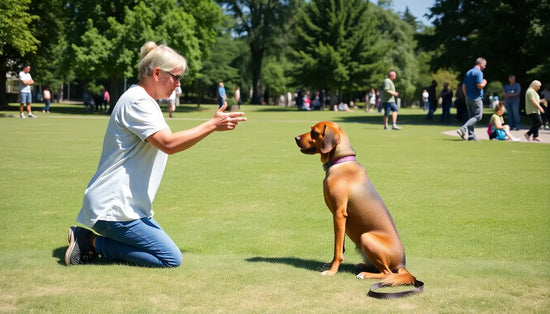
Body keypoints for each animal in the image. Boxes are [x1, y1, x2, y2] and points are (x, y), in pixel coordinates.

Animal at [296, 121, 424, 298]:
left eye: (314, 132)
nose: (296, 138)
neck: (340, 161)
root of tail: (402, 264)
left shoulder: (339, 214)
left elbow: (338, 250)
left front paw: (332, 271)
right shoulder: (339, 218)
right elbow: (339, 246)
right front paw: (330, 265)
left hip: (367, 237)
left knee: (387, 273)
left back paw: (365, 274)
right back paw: (363, 265)